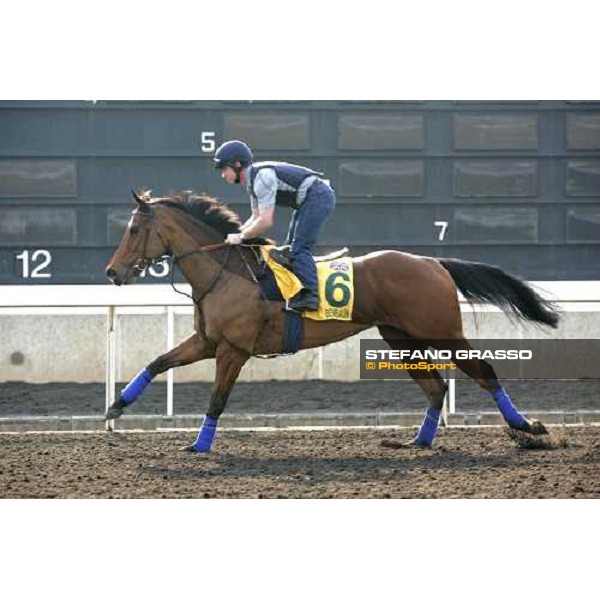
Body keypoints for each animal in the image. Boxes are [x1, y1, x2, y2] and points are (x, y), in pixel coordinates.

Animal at [103, 190, 556, 452]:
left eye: (134, 228)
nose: (112, 272)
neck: (227, 271)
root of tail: (432, 261)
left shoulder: (233, 350)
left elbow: (217, 400)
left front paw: (199, 446)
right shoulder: (207, 342)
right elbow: (156, 362)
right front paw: (115, 407)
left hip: (442, 332)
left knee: (484, 372)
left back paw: (526, 427)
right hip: (401, 338)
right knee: (436, 387)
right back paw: (418, 441)